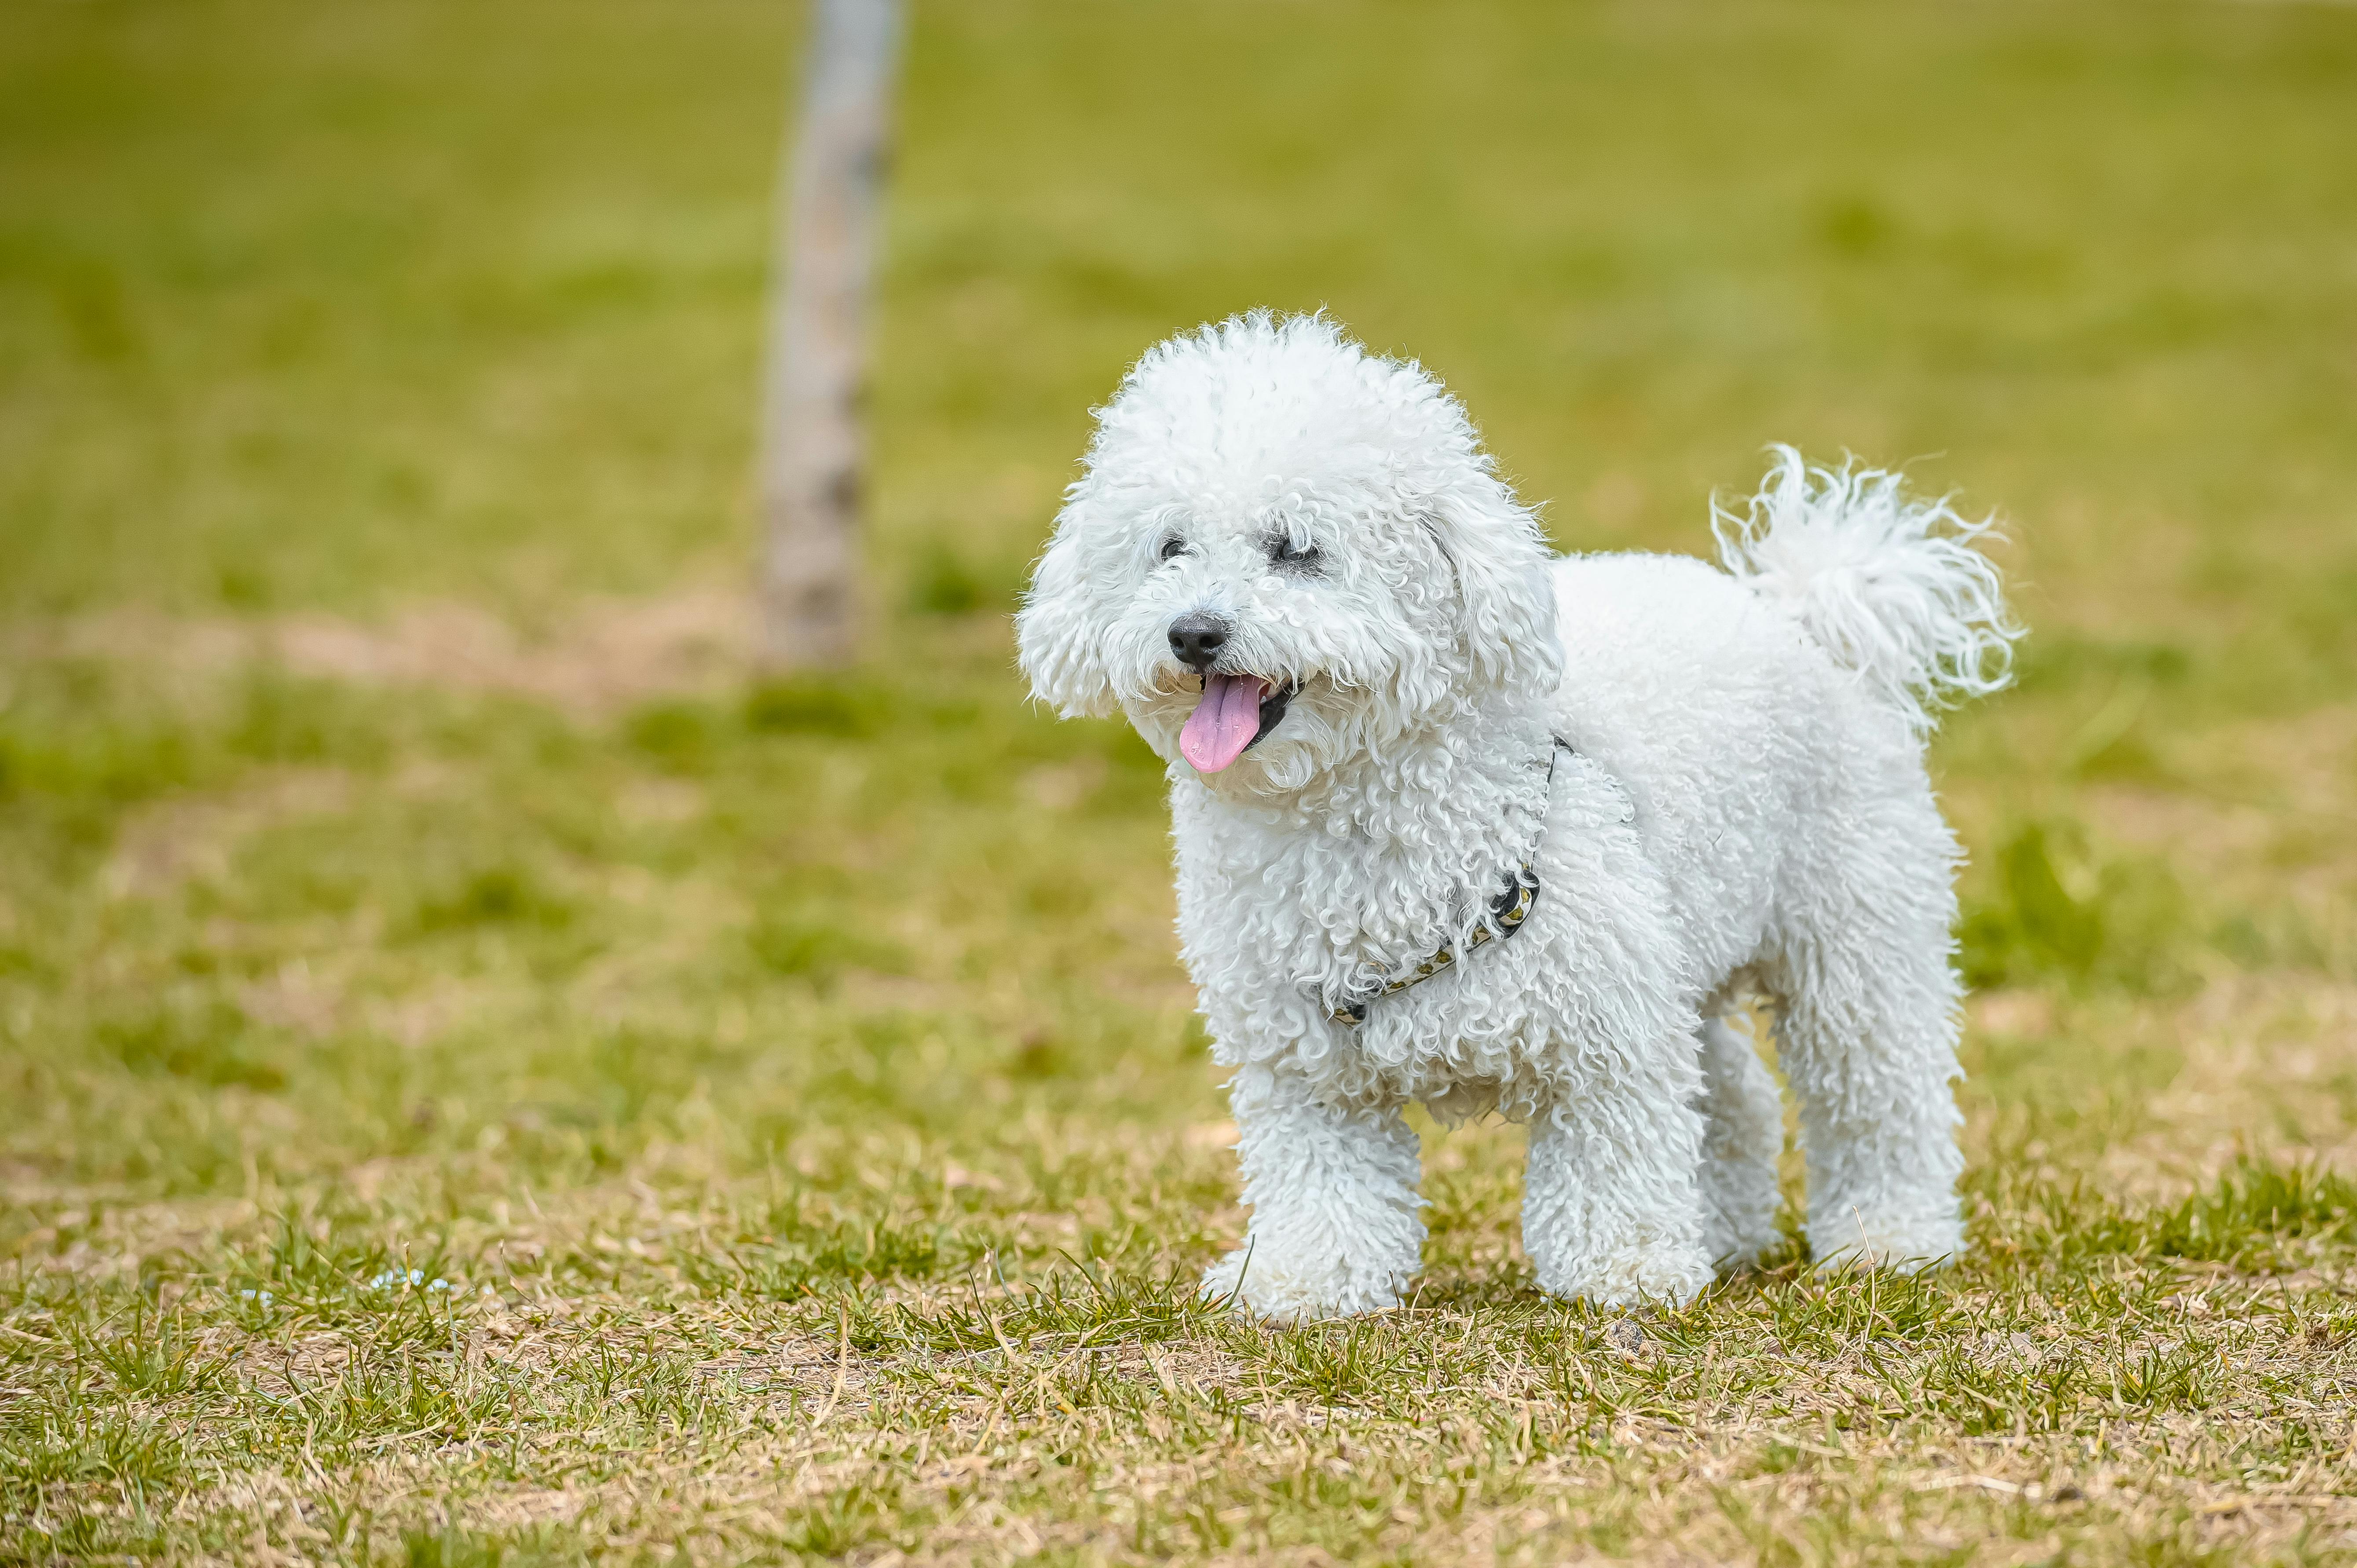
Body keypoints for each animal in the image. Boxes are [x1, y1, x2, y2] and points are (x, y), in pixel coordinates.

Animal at [1013, 311, 2027, 1311]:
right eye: (1169, 548)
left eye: (1297, 548)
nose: (1193, 632)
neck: (1356, 820)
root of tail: (1802, 614)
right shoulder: (1304, 1067)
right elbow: (1323, 1180)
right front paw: (1303, 1280)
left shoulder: (1607, 1035)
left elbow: (1615, 1154)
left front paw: (1626, 1271)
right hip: (1684, 937)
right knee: (1732, 1090)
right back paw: (1726, 1234)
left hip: (1851, 932)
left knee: (1875, 1090)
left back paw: (1890, 1242)